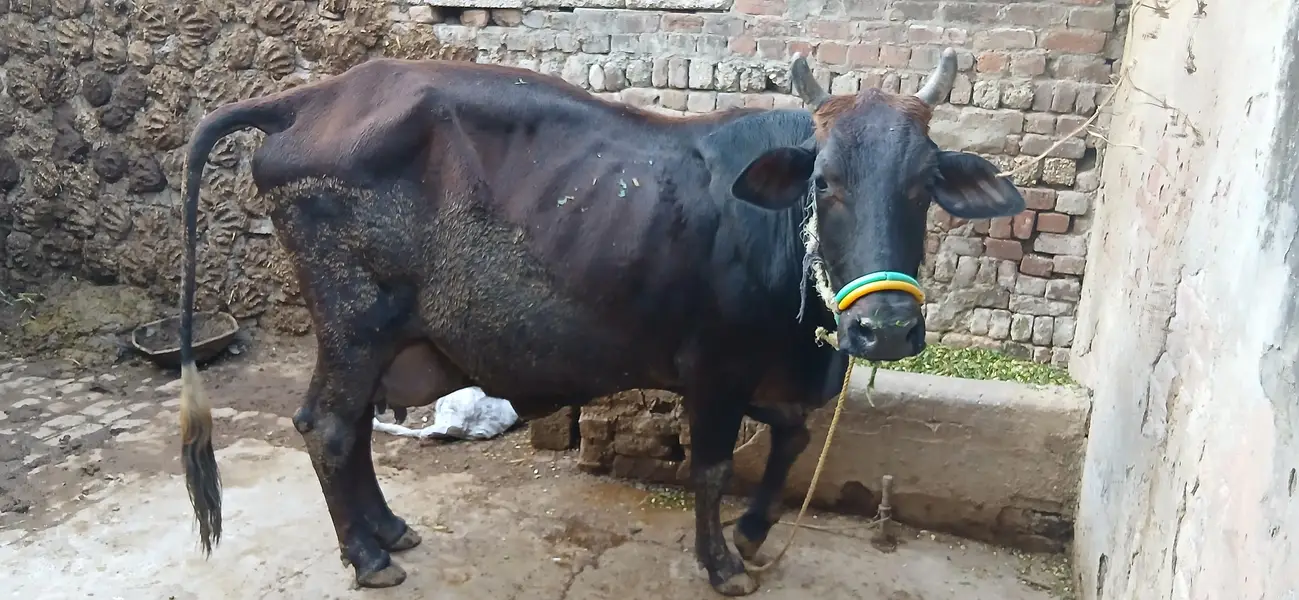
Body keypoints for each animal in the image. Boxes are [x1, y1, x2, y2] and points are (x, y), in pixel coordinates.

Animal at [175, 47, 1024, 596]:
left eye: (924, 184)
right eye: (826, 183)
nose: (886, 330)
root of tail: (315, 98)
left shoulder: (768, 377)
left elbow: (790, 440)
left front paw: (752, 534)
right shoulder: (714, 370)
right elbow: (713, 467)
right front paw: (722, 564)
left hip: (379, 338)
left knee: (349, 433)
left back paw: (387, 531)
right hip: (354, 322)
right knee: (327, 426)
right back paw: (367, 556)